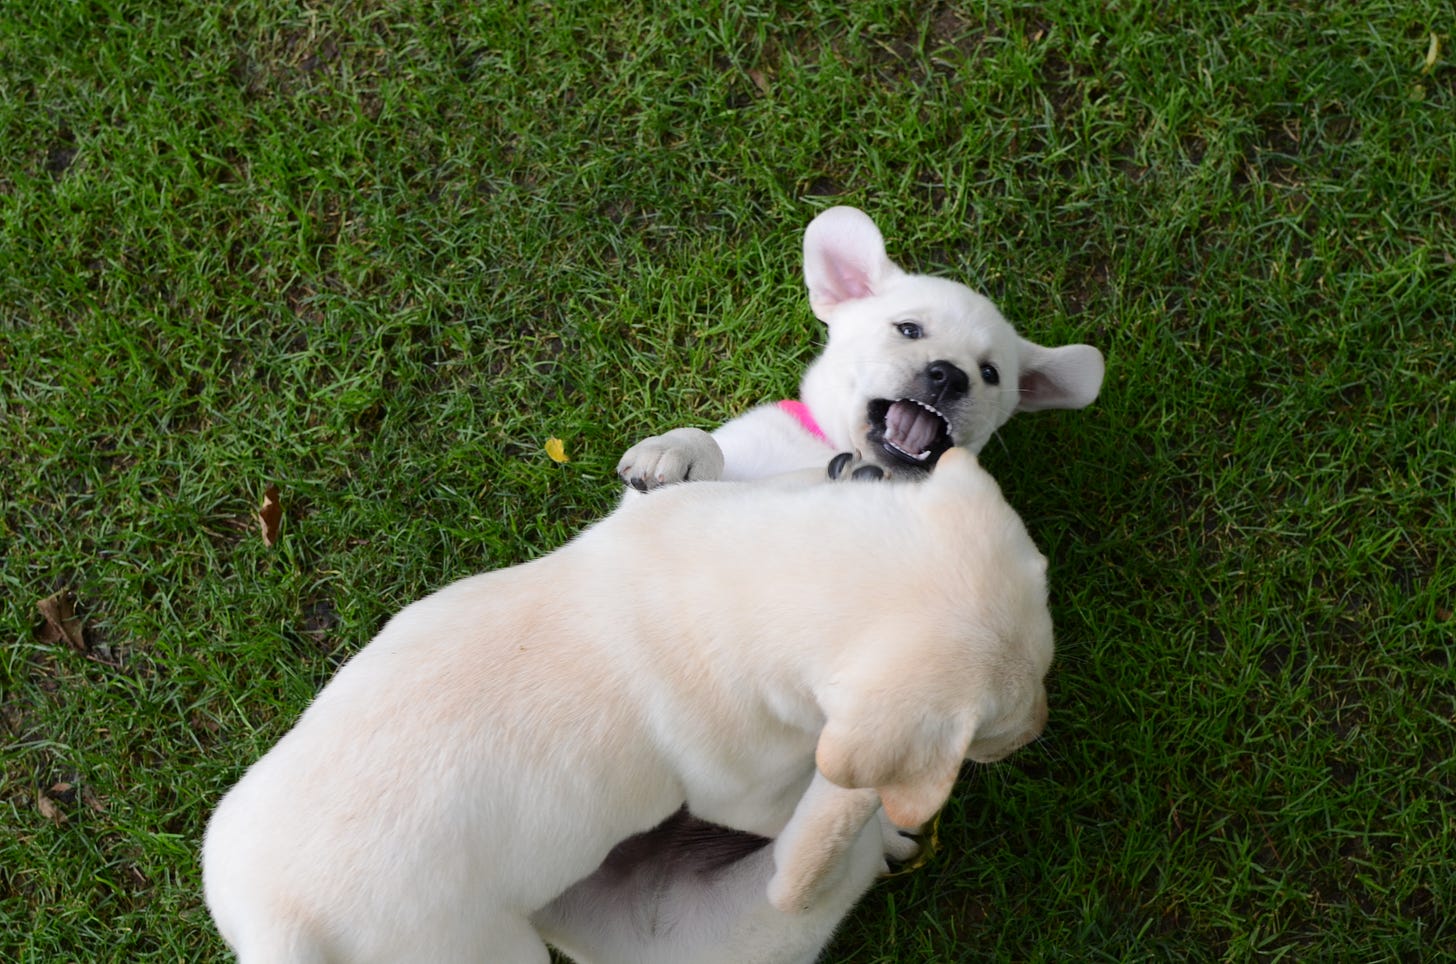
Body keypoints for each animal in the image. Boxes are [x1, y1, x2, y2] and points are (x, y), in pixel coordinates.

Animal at [199, 454, 1054, 964]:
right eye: (994, 729)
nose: (1042, 727)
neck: (763, 575)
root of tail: (284, 926)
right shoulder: (744, 795)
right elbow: (802, 812)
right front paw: (879, 820)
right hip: (485, 953)